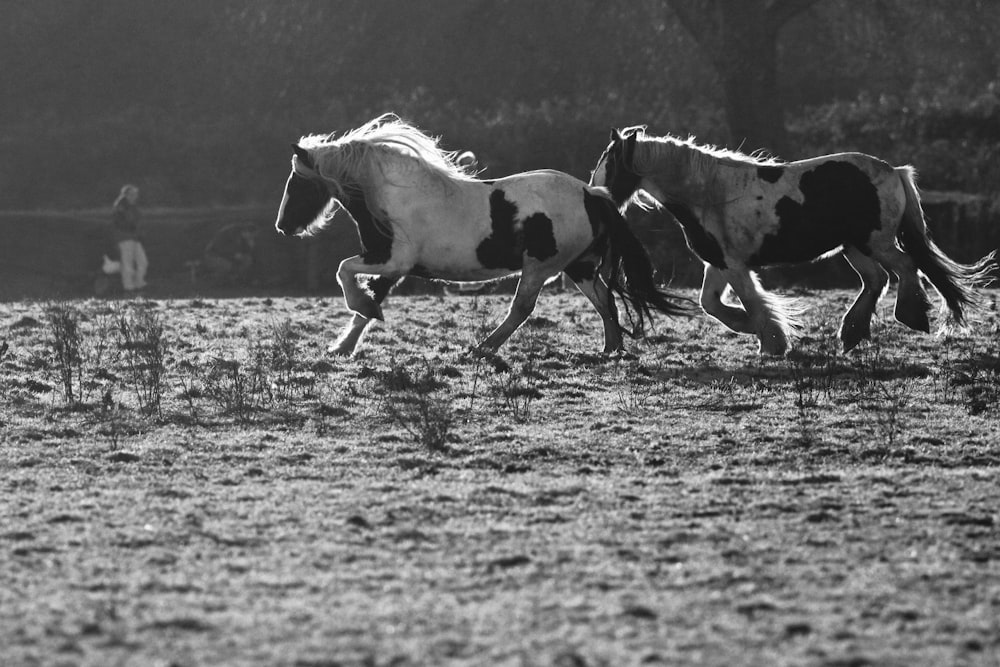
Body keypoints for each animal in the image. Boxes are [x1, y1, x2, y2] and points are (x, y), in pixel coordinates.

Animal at [276, 114, 696, 354]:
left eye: (297, 183)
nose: (283, 226)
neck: (394, 194)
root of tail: (593, 194)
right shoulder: (391, 267)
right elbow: (365, 299)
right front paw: (342, 346)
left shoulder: (394, 260)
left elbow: (345, 273)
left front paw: (358, 318)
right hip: (579, 267)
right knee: (605, 300)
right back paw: (611, 350)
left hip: (541, 267)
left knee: (523, 309)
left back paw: (482, 348)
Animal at [588, 126, 996, 354]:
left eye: (610, 164)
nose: (594, 194)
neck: (709, 194)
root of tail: (894, 171)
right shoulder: (718, 264)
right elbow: (711, 305)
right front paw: (757, 331)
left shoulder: (734, 266)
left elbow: (752, 302)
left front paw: (772, 342)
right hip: (854, 247)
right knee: (877, 279)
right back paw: (852, 333)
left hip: (875, 242)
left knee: (906, 268)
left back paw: (910, 315)